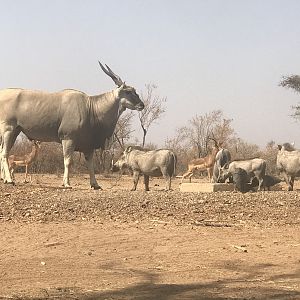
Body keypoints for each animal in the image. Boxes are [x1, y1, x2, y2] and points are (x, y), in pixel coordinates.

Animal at [0, 62, 144, 189]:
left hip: (15, 131)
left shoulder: (88, 145)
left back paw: (5, 179)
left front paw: (95, 184)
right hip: (9, 130)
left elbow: (90, 164)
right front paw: (66, 183)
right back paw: (9, 180)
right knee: (4, 153)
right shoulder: (68, 138)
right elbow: (68, 161)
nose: (141, 105)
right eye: (129, 91)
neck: (91, 107)